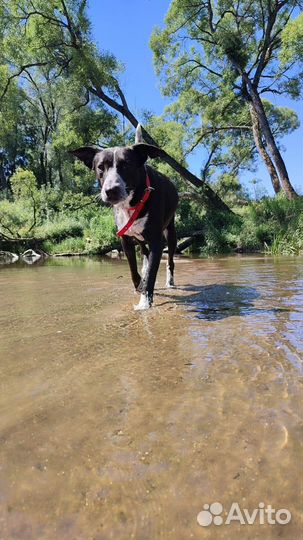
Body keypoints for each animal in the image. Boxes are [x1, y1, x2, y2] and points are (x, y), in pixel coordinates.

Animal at [71, 127, 178, 310]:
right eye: (100, 167)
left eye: (126, 164)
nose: (111, 190)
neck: (132, 203)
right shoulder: (125, 240)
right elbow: (132, 268)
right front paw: (139, 285)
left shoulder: (157, 241)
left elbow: (152, 272)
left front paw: (144, 302)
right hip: (140, 238)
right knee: (144, 253)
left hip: (170, 232)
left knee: (170, 260)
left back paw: (170, 281)